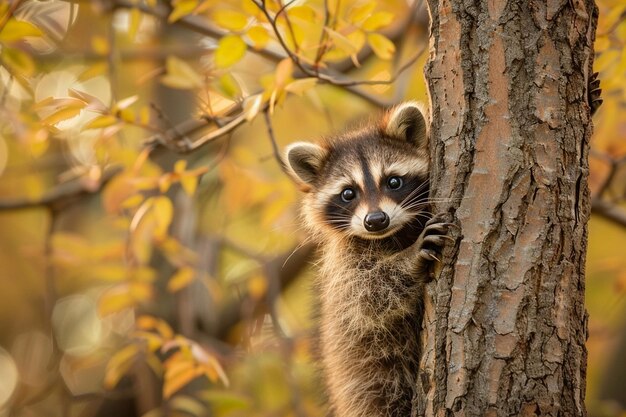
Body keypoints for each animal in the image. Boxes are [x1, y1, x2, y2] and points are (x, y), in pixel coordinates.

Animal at [284, 101, 454, 416]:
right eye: (348, 193)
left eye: (393, 181)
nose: (376, 220)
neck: (393, 234)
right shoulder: (345, 263)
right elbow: (368, 295)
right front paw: (409, 259)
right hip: (367, 381)